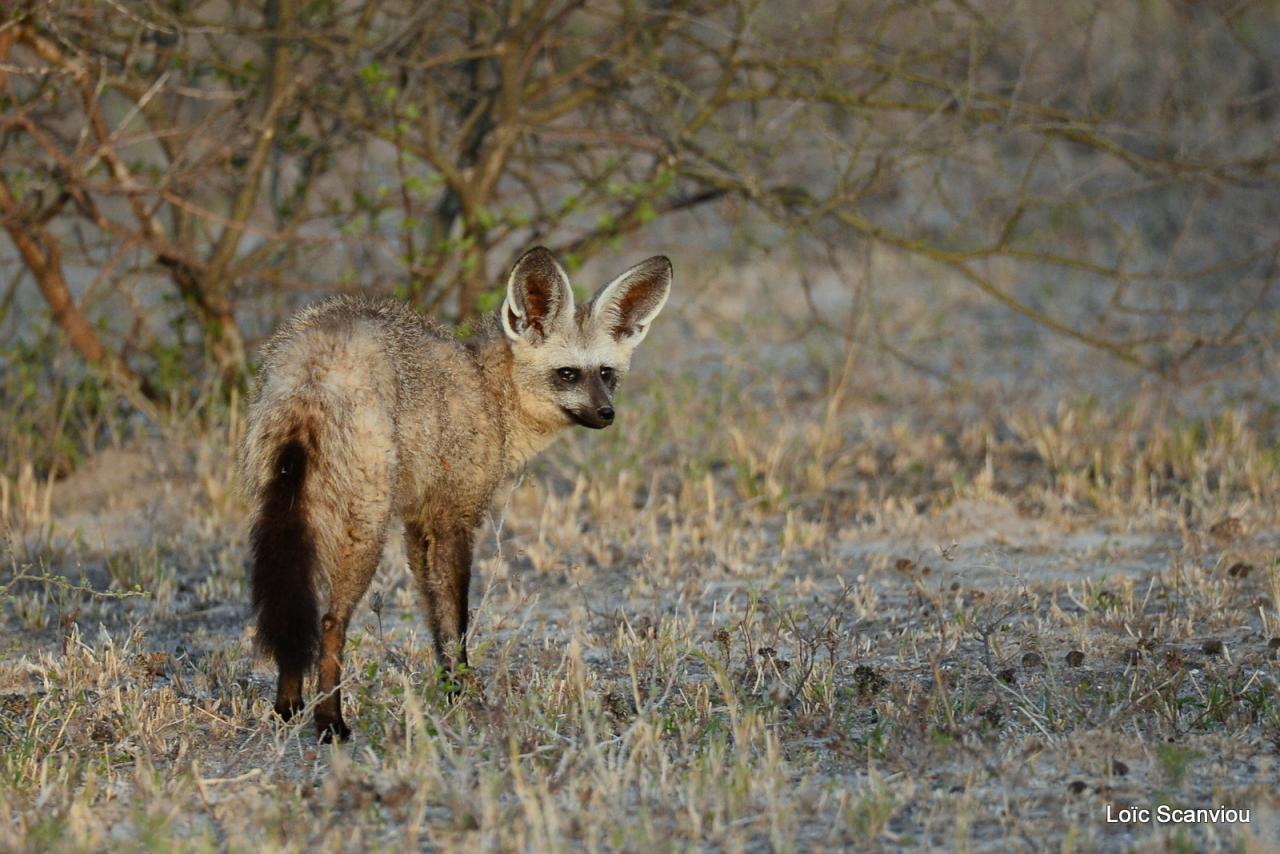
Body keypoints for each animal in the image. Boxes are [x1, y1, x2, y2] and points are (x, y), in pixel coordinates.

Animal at [241, 247, 680, 742]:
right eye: (567, 374)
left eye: (606, 374)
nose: (607, 414)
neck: (489, 392)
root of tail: (315, 362)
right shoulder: (455, 518)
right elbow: (457, 618)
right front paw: (466, 694)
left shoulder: (419, 523)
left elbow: (435, 619)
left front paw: (450, 688)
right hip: (364, 529)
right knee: (330, 621)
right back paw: (330, 721)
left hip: (291, 512)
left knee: (290, 610)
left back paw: (287, 707)